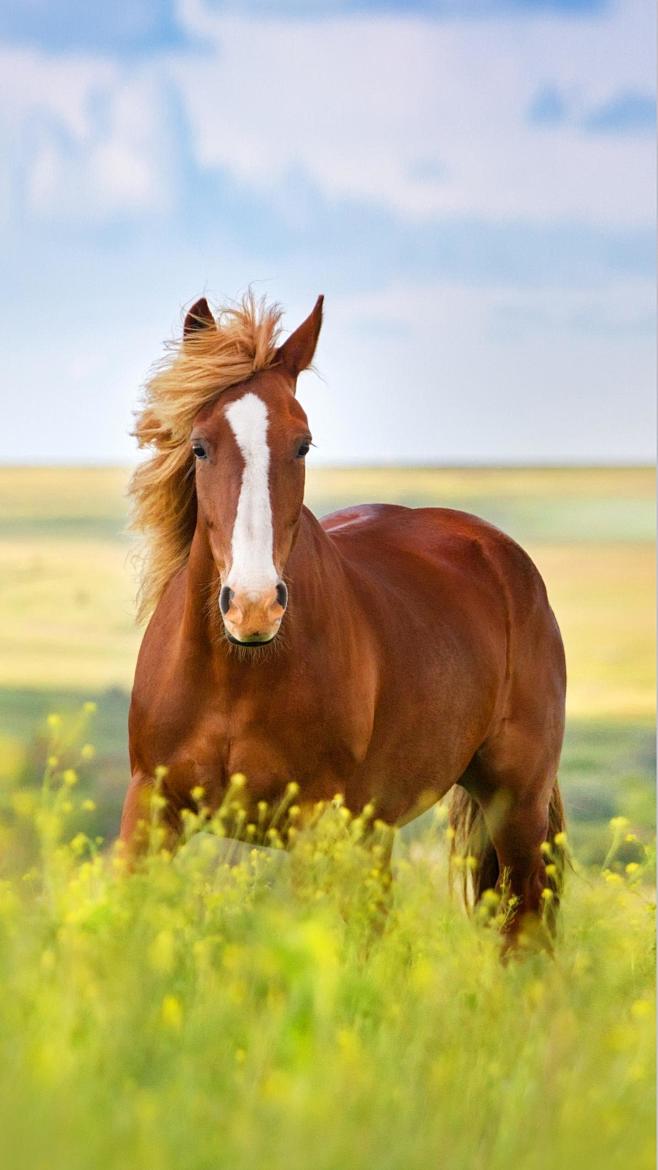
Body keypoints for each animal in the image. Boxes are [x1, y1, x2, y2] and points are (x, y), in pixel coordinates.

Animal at [122, 291, 566, 938]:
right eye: (200, 446)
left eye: (302, 444)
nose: (254, 606)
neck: (237, 674)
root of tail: (499, 552)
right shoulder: (150, 809)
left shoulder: (313, 824)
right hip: (377, 828)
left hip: (516, 806)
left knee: (524, 928)